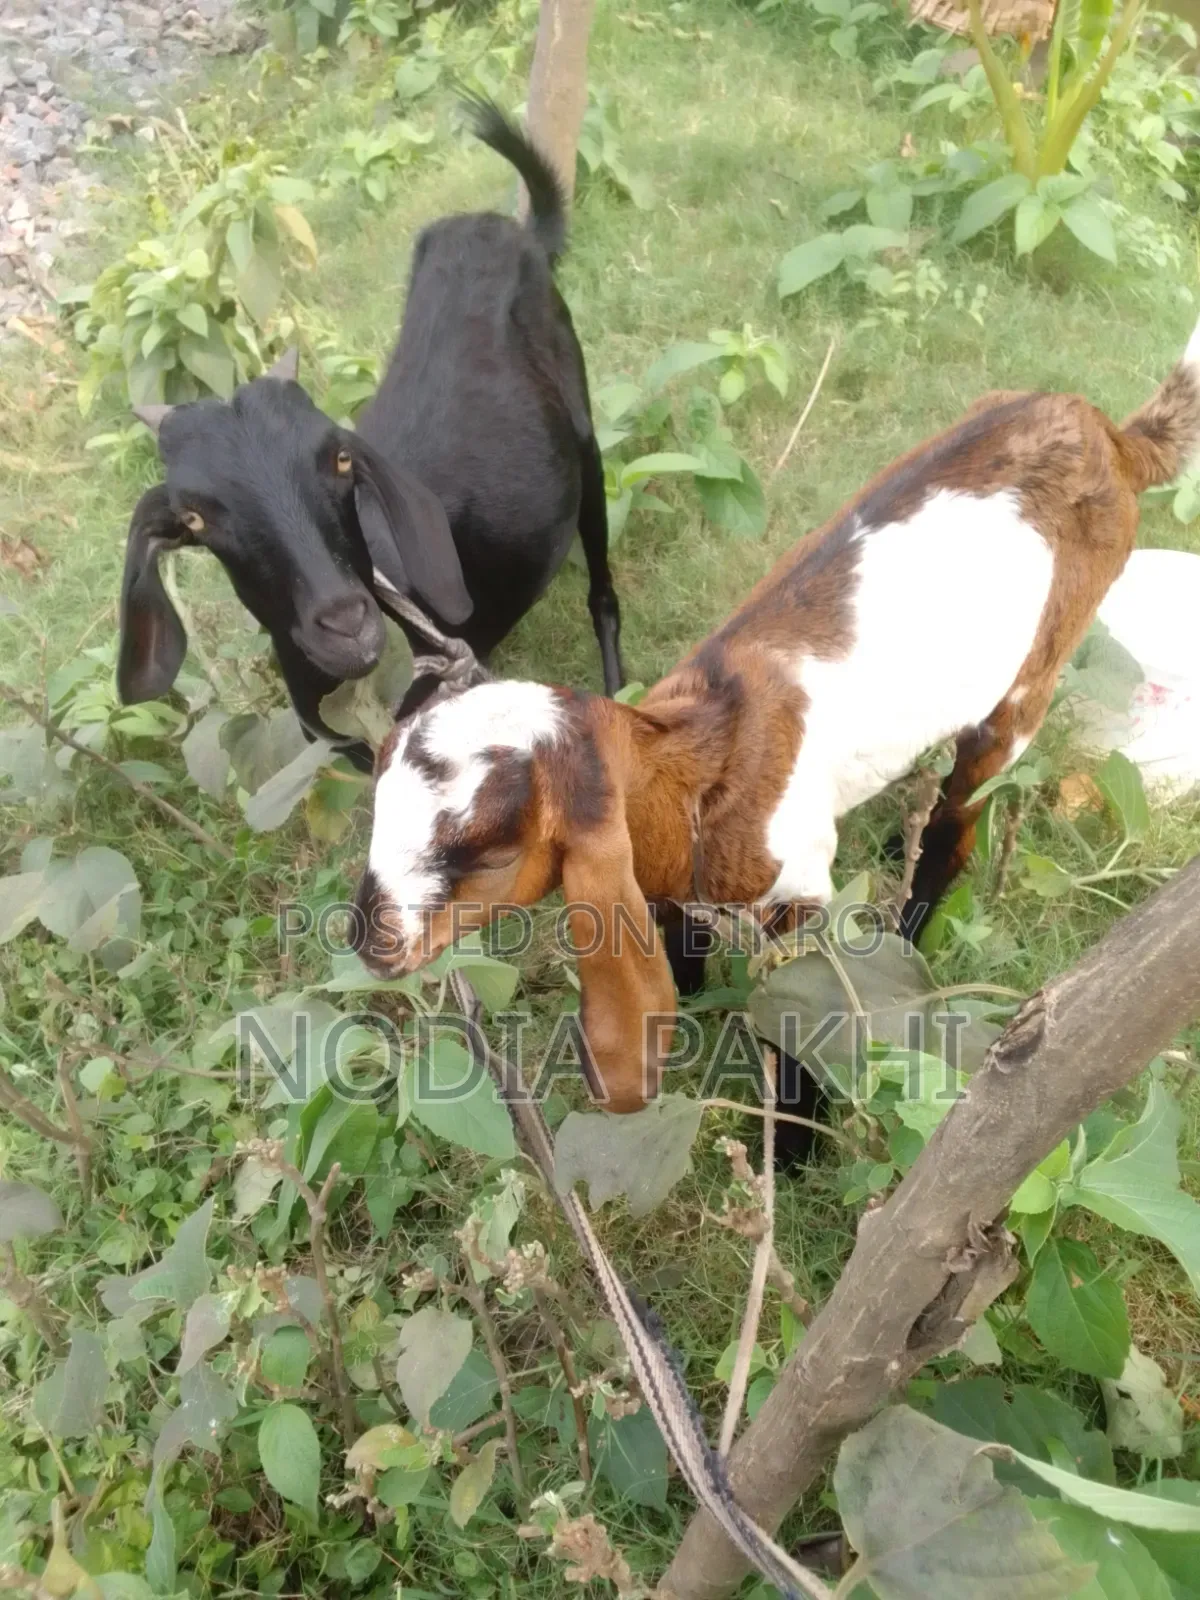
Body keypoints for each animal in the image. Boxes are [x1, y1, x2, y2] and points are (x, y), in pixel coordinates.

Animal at [115, 95, 623, 772]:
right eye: (194, 518)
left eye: (339, 460)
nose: (348, 625)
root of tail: (504, 230)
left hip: (584, 436)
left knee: (603, 592)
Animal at [350, 316, 1200, 1145]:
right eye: (378, 808)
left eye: (488, 851)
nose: (369, 943)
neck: (711, 755)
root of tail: (1110, 435)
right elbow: (676, 928)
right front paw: (692, 990)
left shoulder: (799, 892)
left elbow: (801, 996)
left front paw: (794, 1138)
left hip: (1028, 685)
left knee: (960, 822)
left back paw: (913, 919)